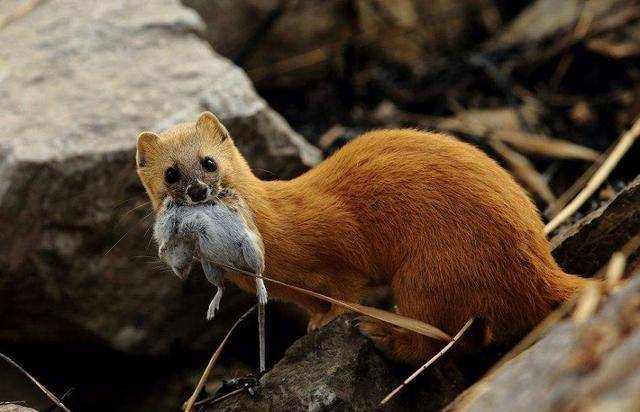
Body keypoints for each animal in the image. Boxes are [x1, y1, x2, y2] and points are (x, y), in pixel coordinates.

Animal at [136, 112, 592, 364]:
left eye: (209, 162)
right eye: (171, 173)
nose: (198, 191)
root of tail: (539, 260)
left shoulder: (336, 249)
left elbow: (345, 288)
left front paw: (335, 318)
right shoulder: (292, 289)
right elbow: (312, 304)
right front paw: (314, 322)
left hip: (426, 273)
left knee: (432, 340)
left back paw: (382, 333)